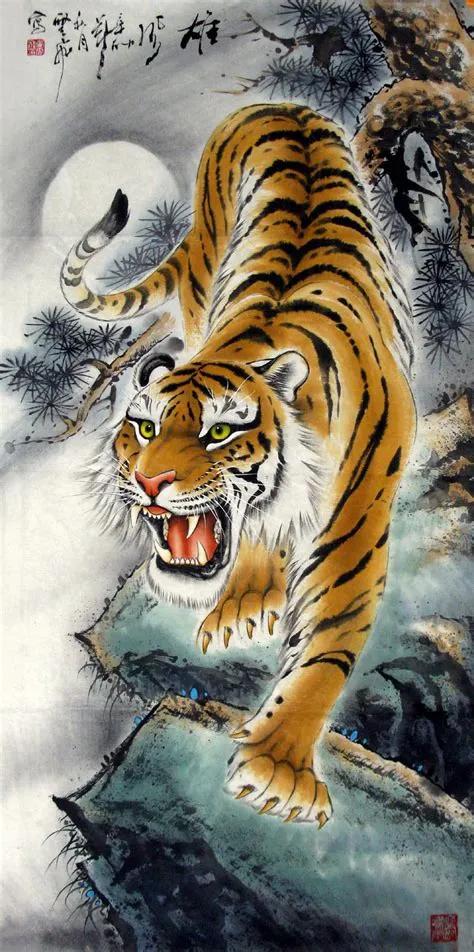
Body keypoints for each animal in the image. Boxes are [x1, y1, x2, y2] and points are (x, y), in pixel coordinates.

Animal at [61, 103, 416, 826]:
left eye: (220, 432)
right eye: (144, 427)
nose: (149, 480)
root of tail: (281, 105)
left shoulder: (353, 539)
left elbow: (323, 651)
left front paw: (279, 769)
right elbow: (252, 543)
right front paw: (246, 606)